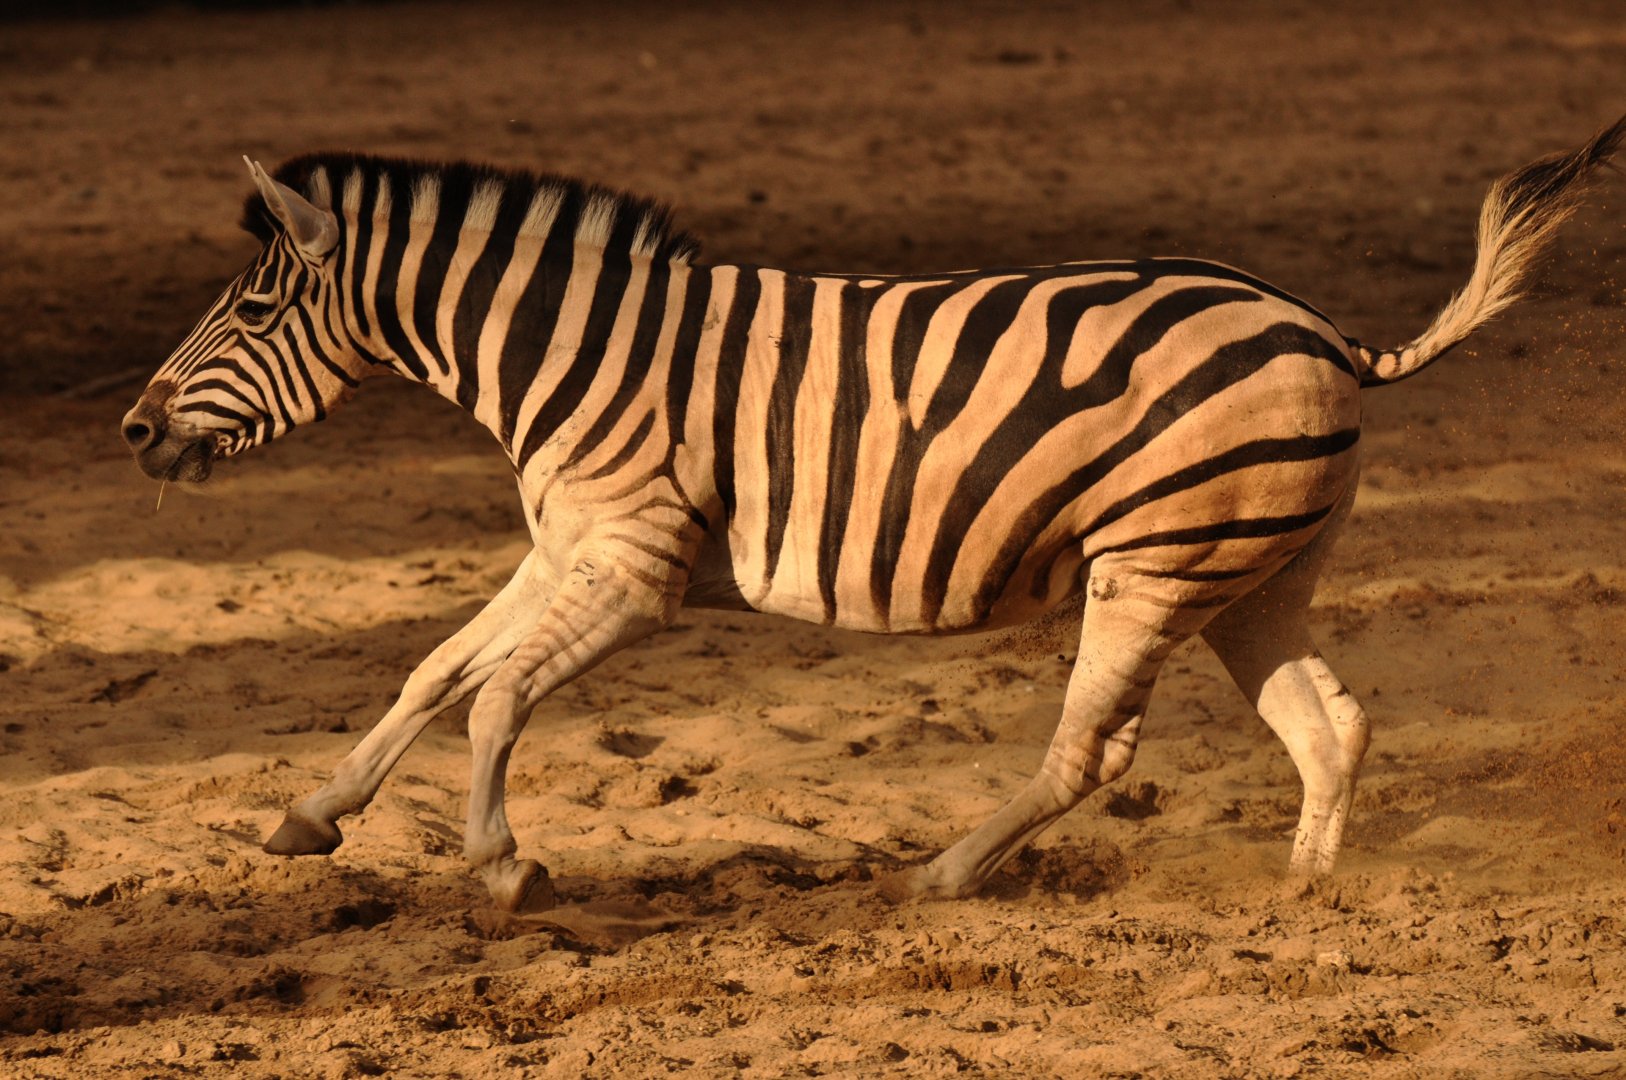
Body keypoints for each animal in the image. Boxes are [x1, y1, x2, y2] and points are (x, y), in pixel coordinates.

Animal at [122, 118, 1623, 913]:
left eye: (253, 310)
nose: (133, 429)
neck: (575, 353)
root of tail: (1323, 329)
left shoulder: (635, 564)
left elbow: (494, 700)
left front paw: (501, 864)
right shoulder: (566, 546)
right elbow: (431, 671)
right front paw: (311, 816)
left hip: (1153, 564)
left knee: (1094, 751)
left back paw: (943, 873)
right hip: (1250, 573)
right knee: (1331, 723)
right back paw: (1302, 893)